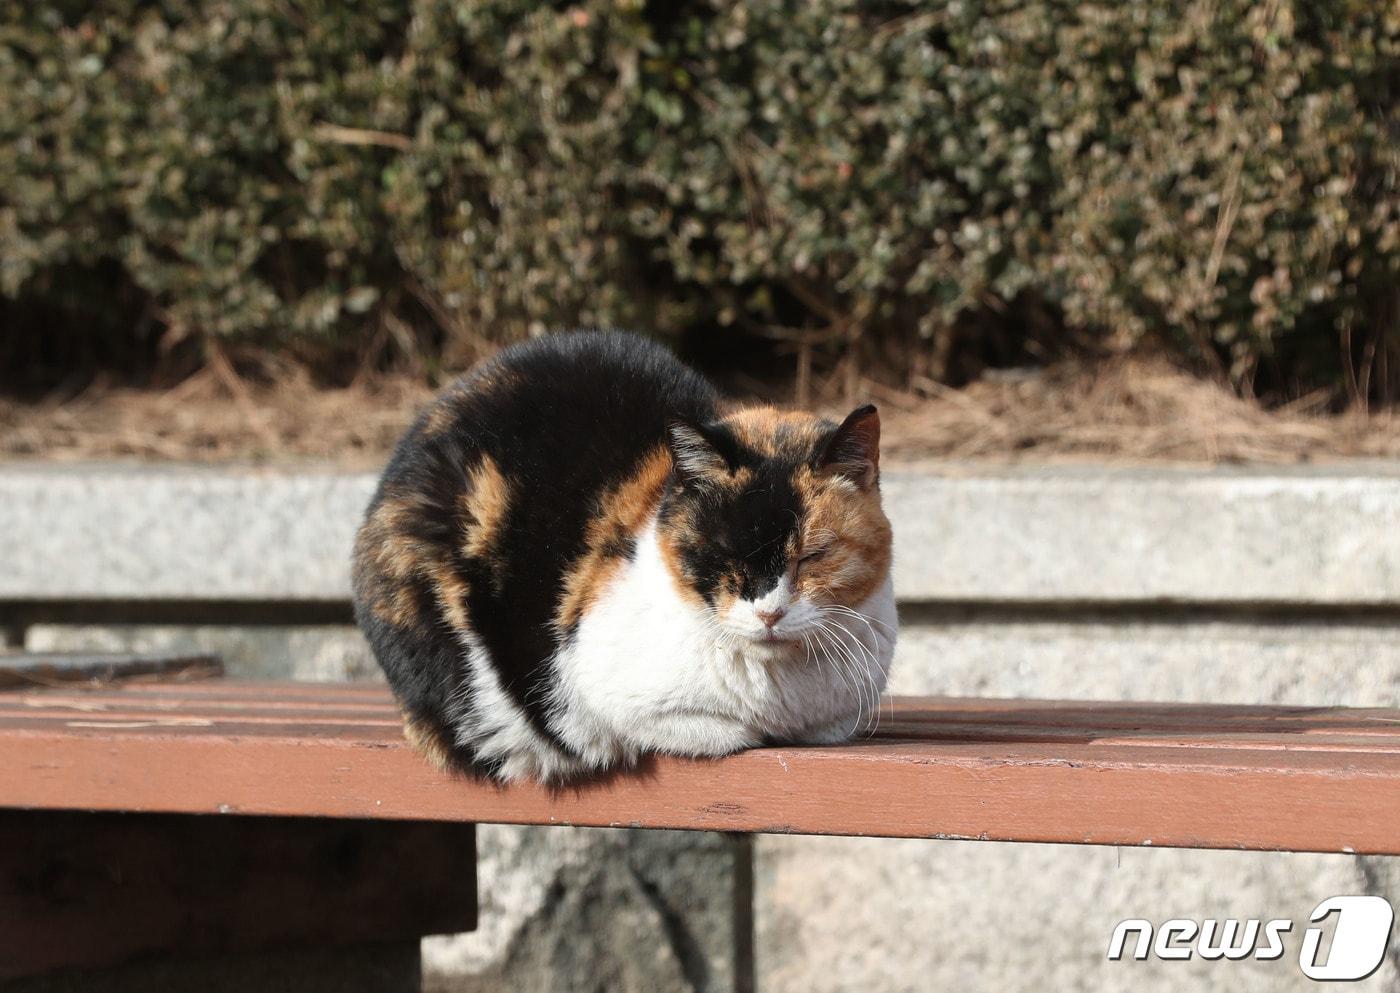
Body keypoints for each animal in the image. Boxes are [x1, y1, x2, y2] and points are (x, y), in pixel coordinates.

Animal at [350, 333, 896, 784]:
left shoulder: (841, 713)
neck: (781, 696)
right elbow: (716, 731)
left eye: (813, 556)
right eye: (722, 554)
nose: (769, 613)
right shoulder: (599, 688)